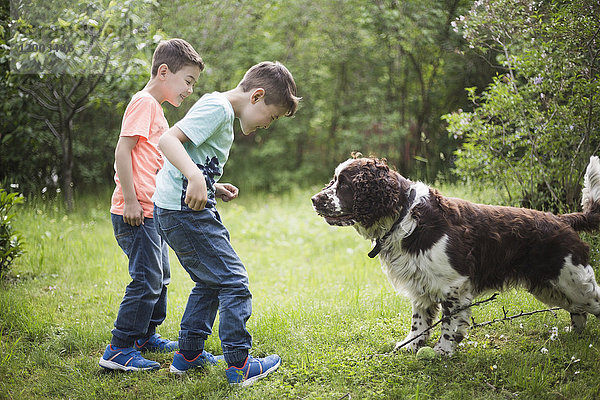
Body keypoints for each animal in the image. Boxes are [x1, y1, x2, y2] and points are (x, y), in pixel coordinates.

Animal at [312, 155, 600, 354]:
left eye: (345, 184)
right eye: (334, 181)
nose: (314, 200)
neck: (406, 216)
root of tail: (562, 219)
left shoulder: (453, 286)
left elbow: (449, 321)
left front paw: (443, 350)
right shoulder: (421, 284)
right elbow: (419, 321)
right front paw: (412, 345)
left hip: (574, 282)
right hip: (551, 288)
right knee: (578, 313)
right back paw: (572, 335)